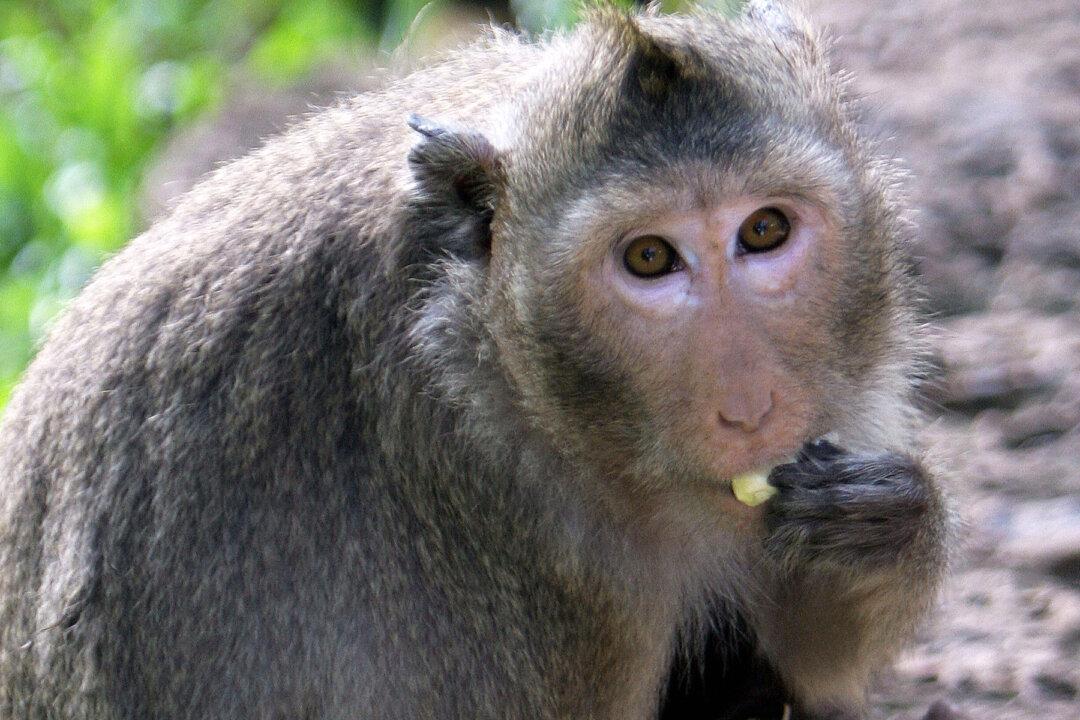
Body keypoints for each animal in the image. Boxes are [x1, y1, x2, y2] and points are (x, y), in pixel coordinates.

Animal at [0, 2, 951, 719]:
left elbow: (817, 663)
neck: (499, 370)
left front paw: (886, 526)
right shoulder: (498, 535)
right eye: (649, 258)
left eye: (764, 231)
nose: (749, 406)